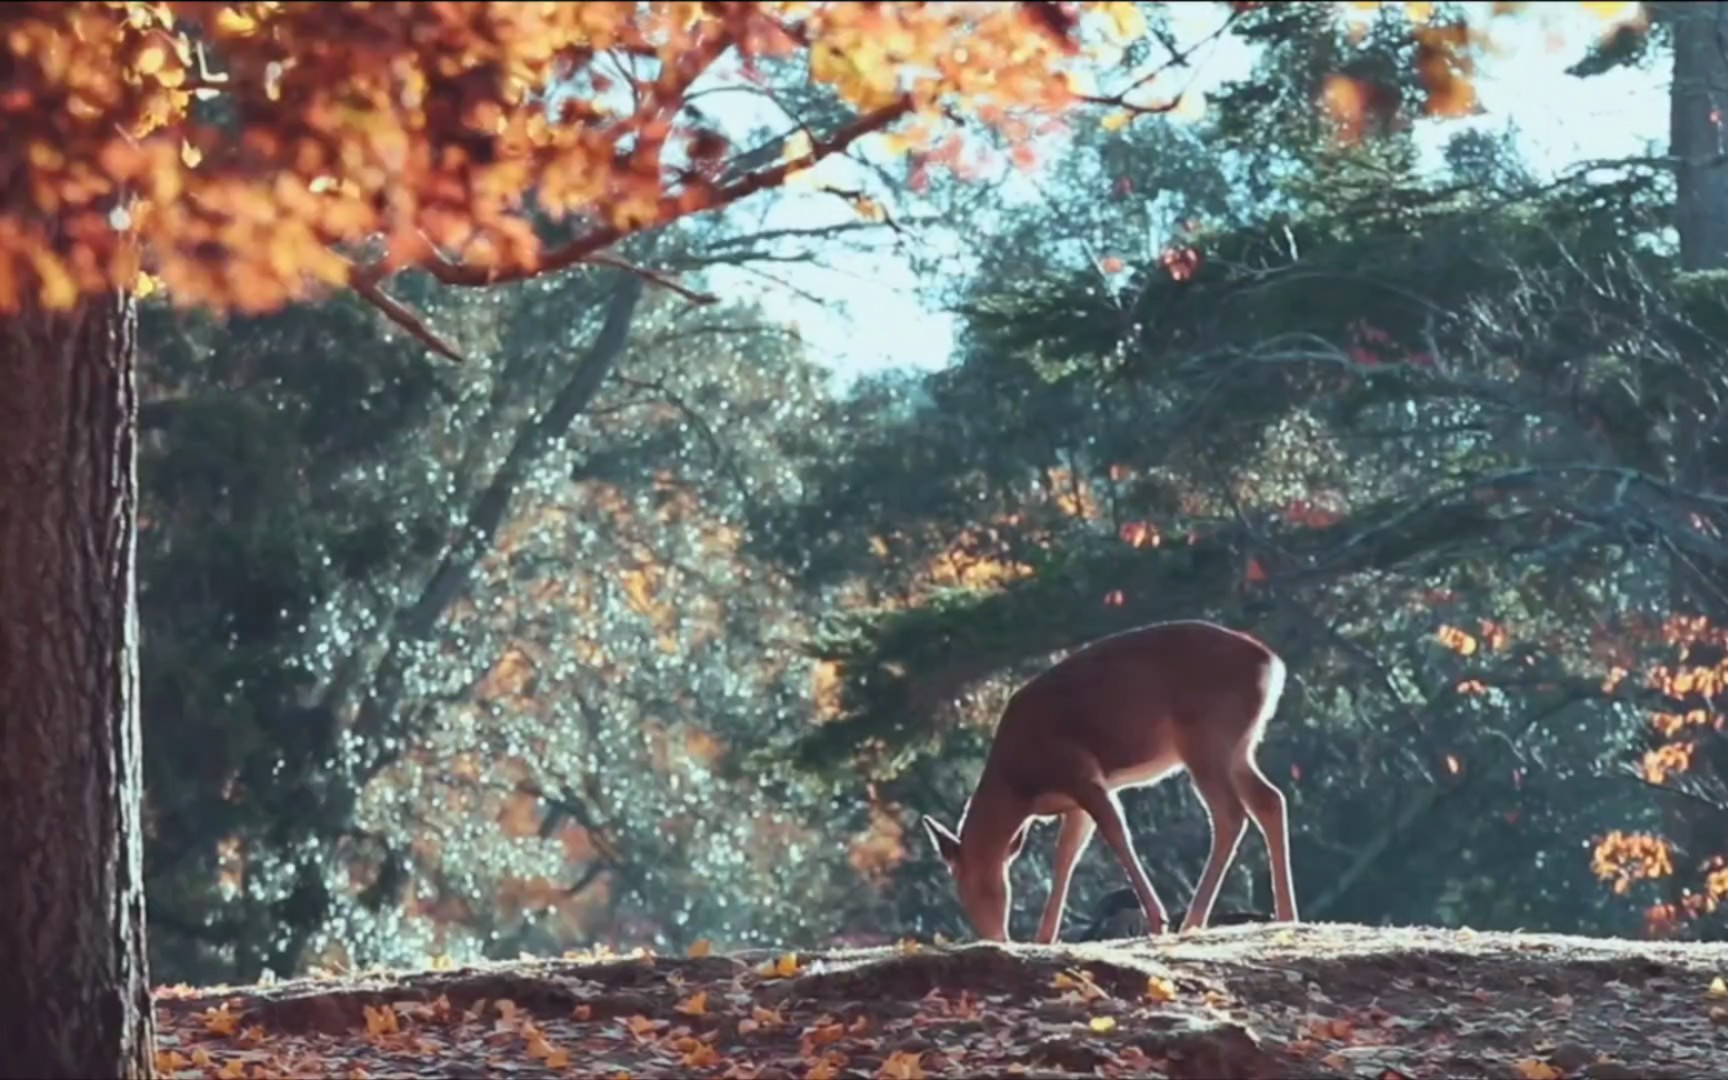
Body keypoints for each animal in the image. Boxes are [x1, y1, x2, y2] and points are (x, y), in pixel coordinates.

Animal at [919, 618, 1299, 940]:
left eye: (971, 888)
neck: (1020, 788)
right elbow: (1065, 857)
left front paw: (1157, 919)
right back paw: (1286, 914)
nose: (995, 938)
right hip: (1240, 747)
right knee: (1270, 799)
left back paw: (1192, 920)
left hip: (1206, 738)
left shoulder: (1081, 772)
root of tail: (1271, 664)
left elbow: (1115, 831)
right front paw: (1045, 938)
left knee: (1230, 814)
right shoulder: (1074, 803)